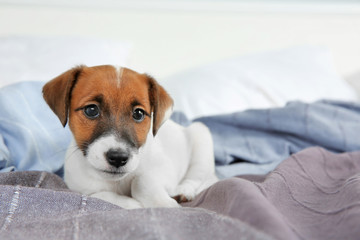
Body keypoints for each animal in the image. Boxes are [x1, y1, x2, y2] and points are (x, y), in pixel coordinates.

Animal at [42, 65, 217, 208]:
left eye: (138, 113)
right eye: (91, 110)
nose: (118, 158)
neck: (118, 181)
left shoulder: (165, 169)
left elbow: (141, 181)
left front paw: (163, 204)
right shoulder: (80, 188)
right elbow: (100, 194)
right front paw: (134, 205)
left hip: (201, 136)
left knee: (198, 177)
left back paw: (183, 190)